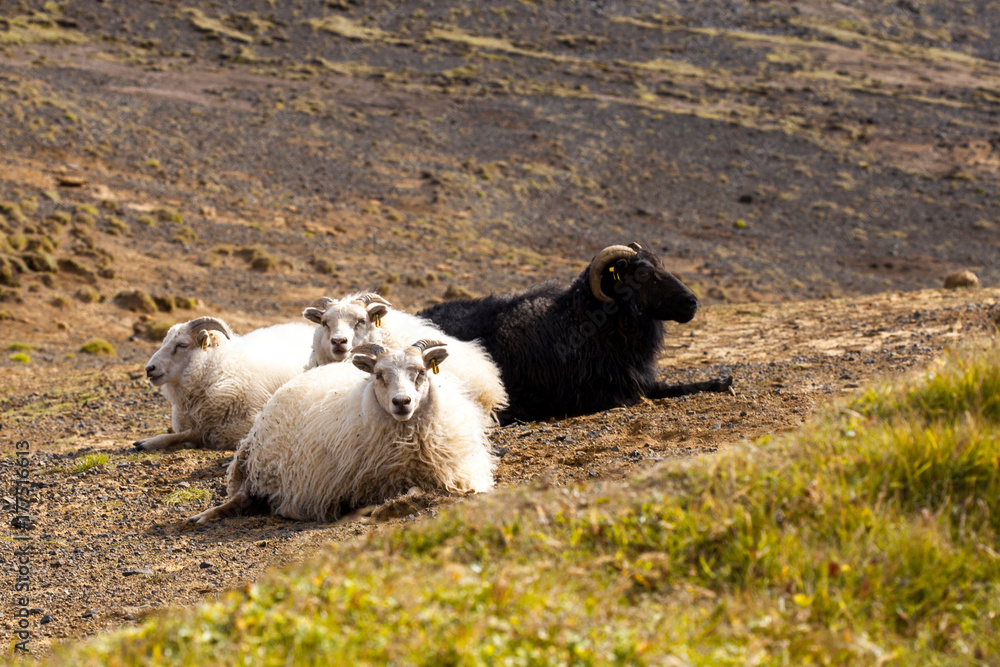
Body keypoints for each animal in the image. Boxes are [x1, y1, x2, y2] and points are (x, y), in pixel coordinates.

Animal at [134, 317, 315, 452]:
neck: (221, 368)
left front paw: (149, 442)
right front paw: (150, 441)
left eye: (182, 345)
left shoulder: (236, 430)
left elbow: (192, 434)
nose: (149, 369)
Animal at [188, 339, 497, 524]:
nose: (402, 402)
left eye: (421, 371)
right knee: (240, 497)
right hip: (253, 466)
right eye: (379, 375)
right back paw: (203, 517)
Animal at [418, 243, 734, 424]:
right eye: (643, 273)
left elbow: (671, 387)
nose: (692, 302)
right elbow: (645, 394)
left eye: (662, 265)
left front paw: (721, 382)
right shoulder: (600, 392)